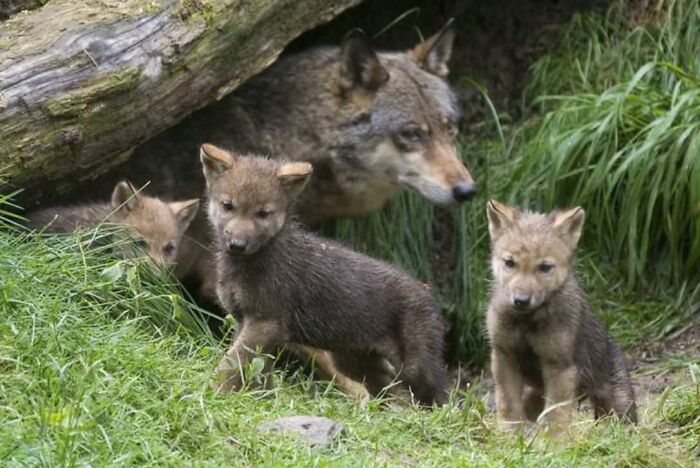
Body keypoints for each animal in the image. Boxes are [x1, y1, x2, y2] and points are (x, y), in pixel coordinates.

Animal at [201, 143, 450, 405]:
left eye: (263, 213)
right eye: (228, 206)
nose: (237, 245)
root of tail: (428, 292)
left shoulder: (266, 322)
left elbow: (230, 364)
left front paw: (215, 394)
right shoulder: (246, 322)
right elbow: (256, 372)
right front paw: (256, 399)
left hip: (415, 368)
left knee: (443, 395)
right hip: (354, 359)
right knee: (386, 388)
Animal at [485, 200, 636, 430]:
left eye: (545, 267)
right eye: (510, 262)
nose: (521, 300)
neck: (527, 322)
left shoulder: (559, 365)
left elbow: (555, 415)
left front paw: (550, 439)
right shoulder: (504, 355)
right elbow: (509, 406)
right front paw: (508, 433)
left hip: (617, 406)